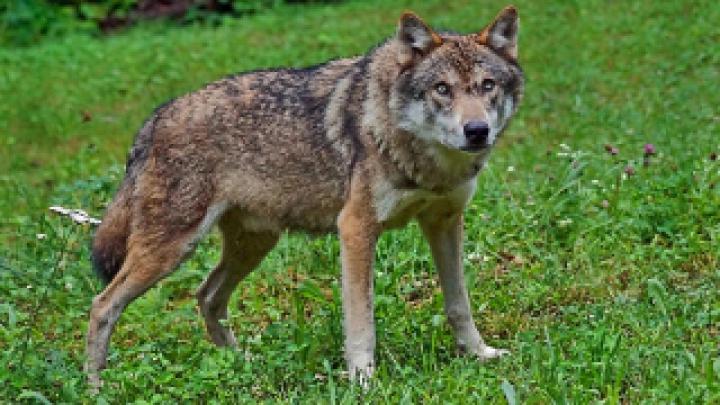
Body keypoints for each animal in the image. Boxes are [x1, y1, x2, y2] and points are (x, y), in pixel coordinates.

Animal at [86, 5, 524, 388]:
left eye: (487, 86)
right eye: (442, 89)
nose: (477, 131)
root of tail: (155, 118)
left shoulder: (444, 223)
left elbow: (459, 304)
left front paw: (479, 354)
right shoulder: (356, 229)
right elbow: (361, 322)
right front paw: (363, 382)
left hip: (253, 245)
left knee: (207, 296)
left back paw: (241, 364)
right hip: (171, 251)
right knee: (102, 305)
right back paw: (95, 388)